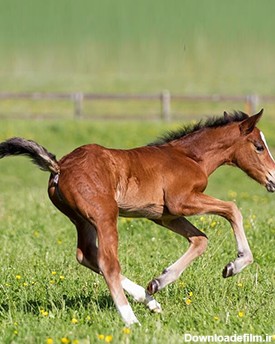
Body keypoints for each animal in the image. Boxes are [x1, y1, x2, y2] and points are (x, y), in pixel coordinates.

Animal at [0, 109, 275, 326]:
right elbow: (232, 209)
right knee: (107, 262)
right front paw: (236, 264)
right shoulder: (181, 201)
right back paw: (131, 319)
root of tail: (60, 167)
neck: (189, 157)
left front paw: (158, 282)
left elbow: (200, 239)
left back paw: (149, 300)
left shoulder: (165, 216)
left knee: (86, 254)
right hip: (104, 215)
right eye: (259, 147)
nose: (273, 179)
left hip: (82, 220)